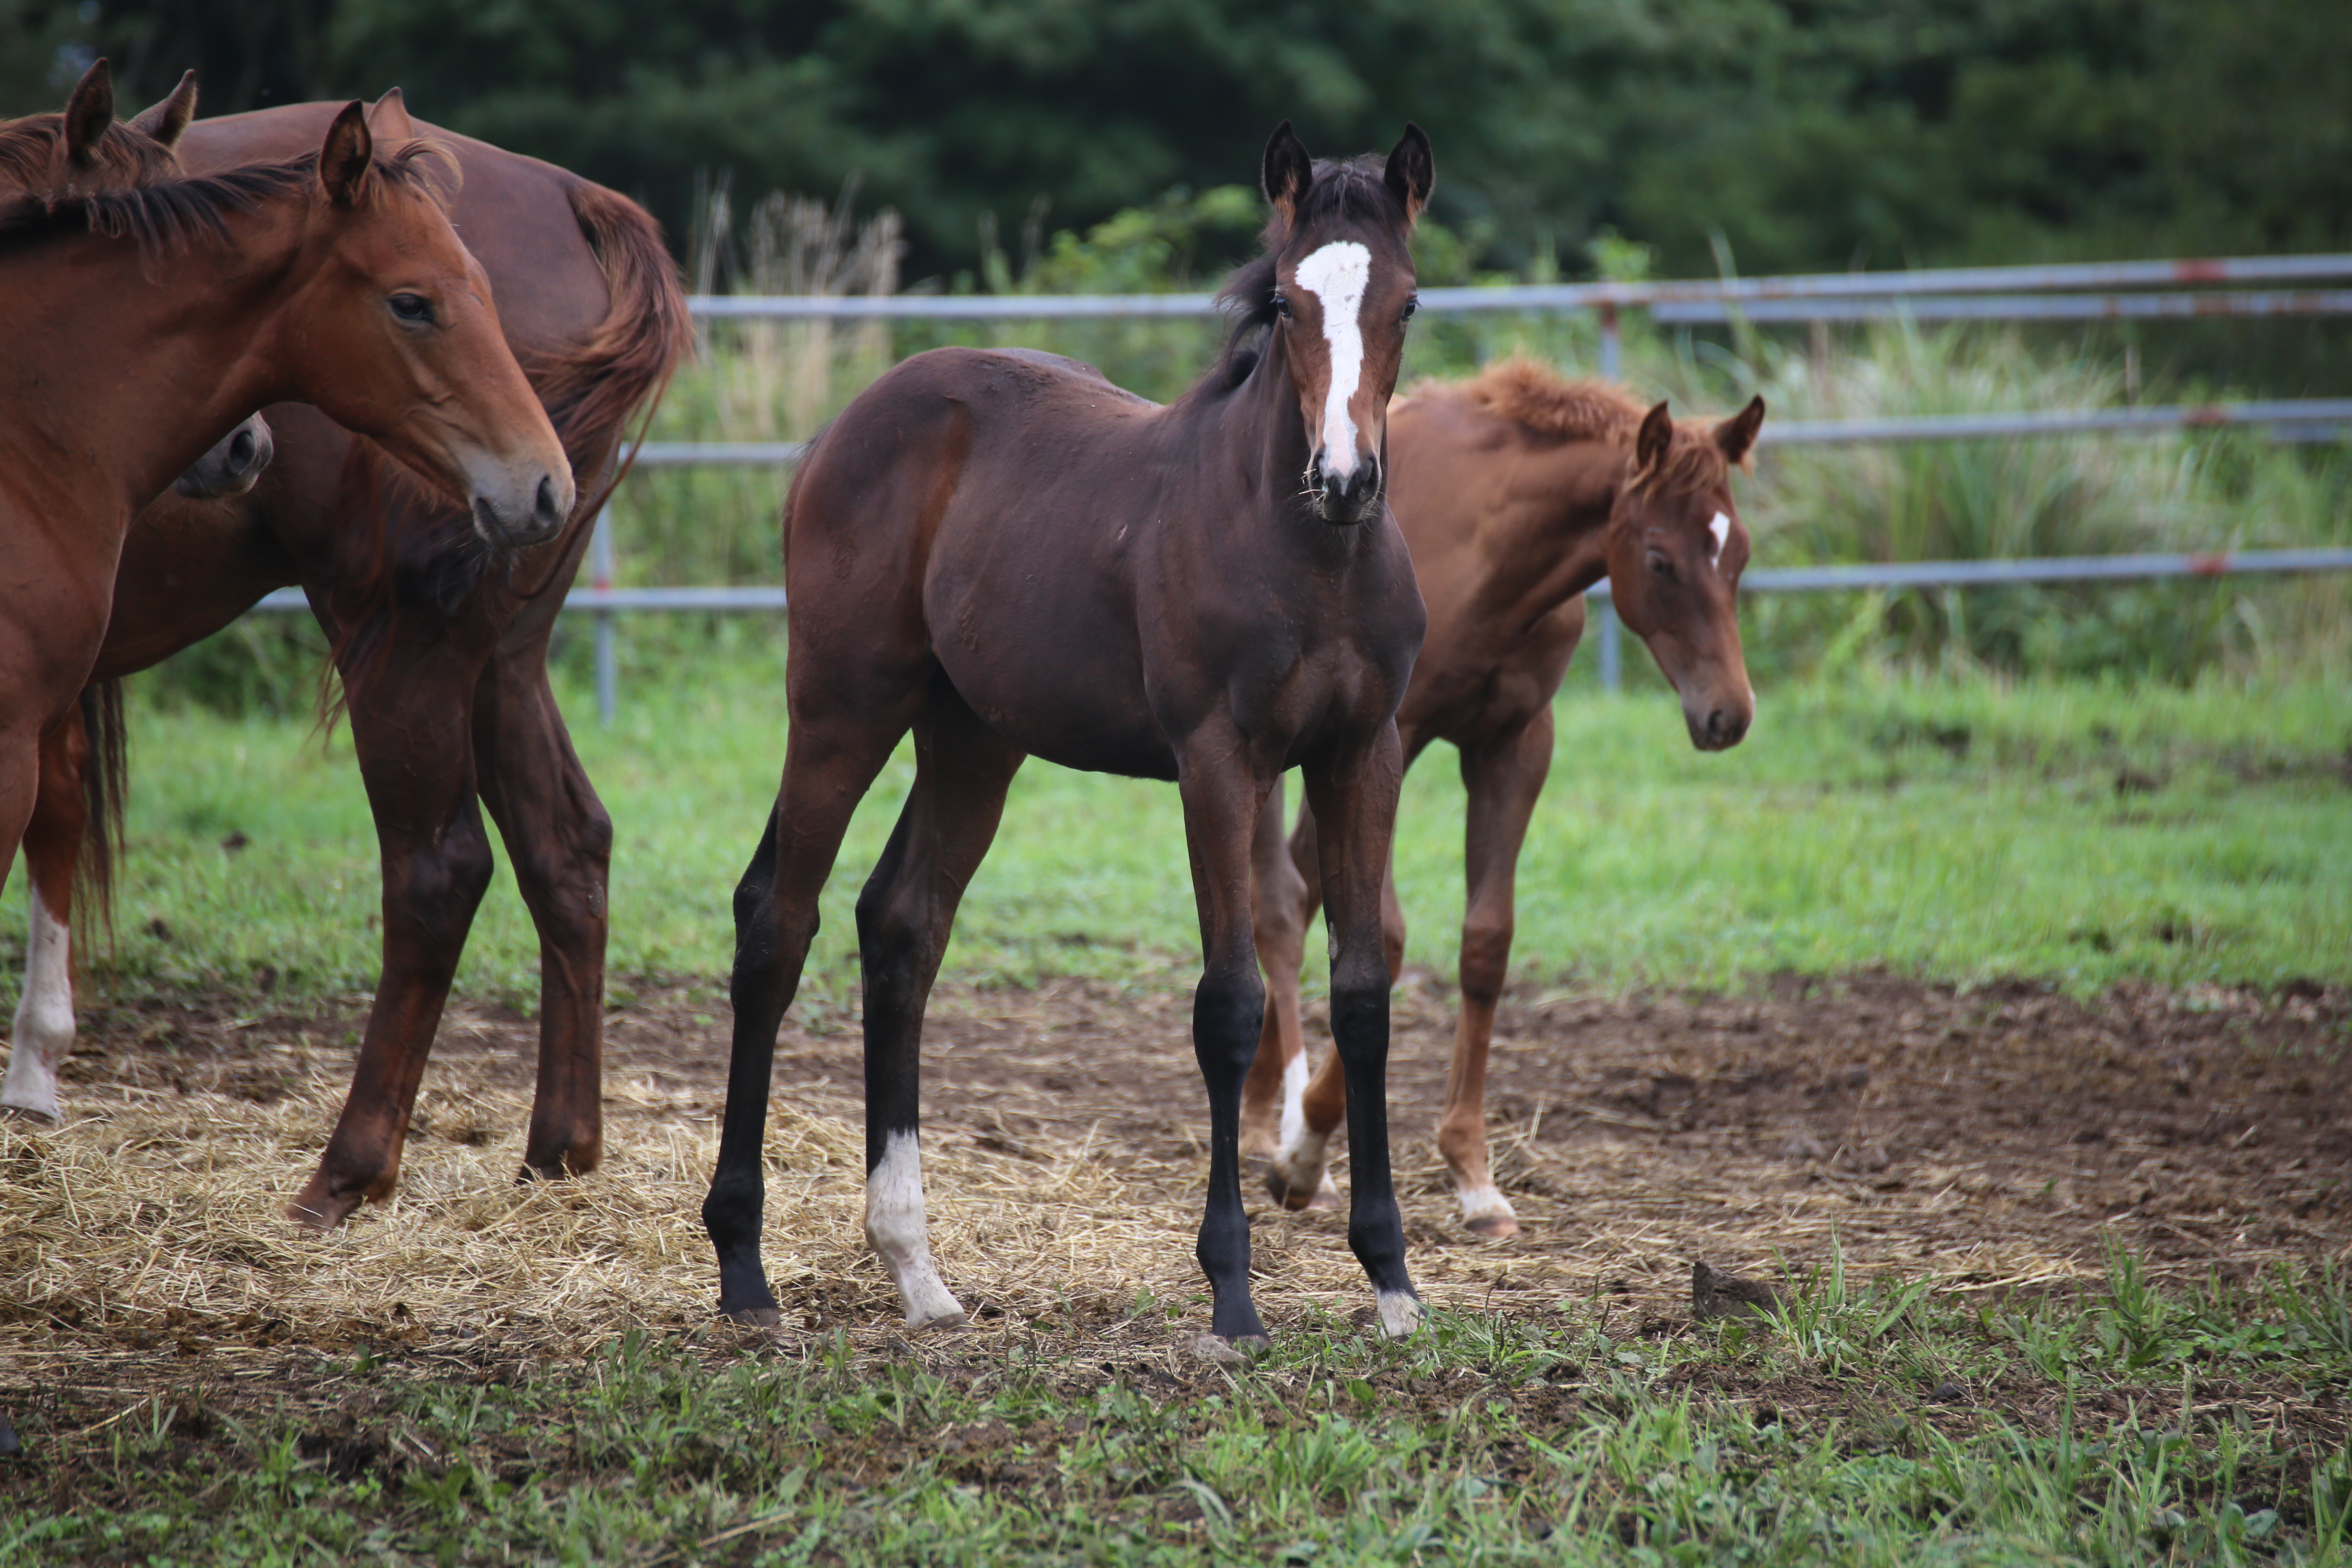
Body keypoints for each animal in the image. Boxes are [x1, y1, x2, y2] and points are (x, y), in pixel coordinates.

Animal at [696, 126, 1430, 1354]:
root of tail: (843, 427)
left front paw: (1393, 1278)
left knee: (902, 925)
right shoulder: (1214, 760)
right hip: (842, 704)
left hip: (971, 738)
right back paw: (744, 1269)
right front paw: (1232, 1293)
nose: (1343, 479)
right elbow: (1228, 1004)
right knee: (777, 924)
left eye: (1407, 302)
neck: (1309, 555)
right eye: (1285, 303)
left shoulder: (1360, 752)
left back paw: (916, 1271)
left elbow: (1366, 995)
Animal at [1242, 355, 1759, 1241]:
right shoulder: (1386, 739)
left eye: (1741, 554)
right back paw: (1274, 1123)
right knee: (1275, 905)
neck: (1485, 557)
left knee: (1295, 887)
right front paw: (1305, 1148)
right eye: (1660, 560)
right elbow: (1385, 939)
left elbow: (1486, 942)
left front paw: (1473, 1175)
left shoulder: (1516, 746)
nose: (1728, 715)